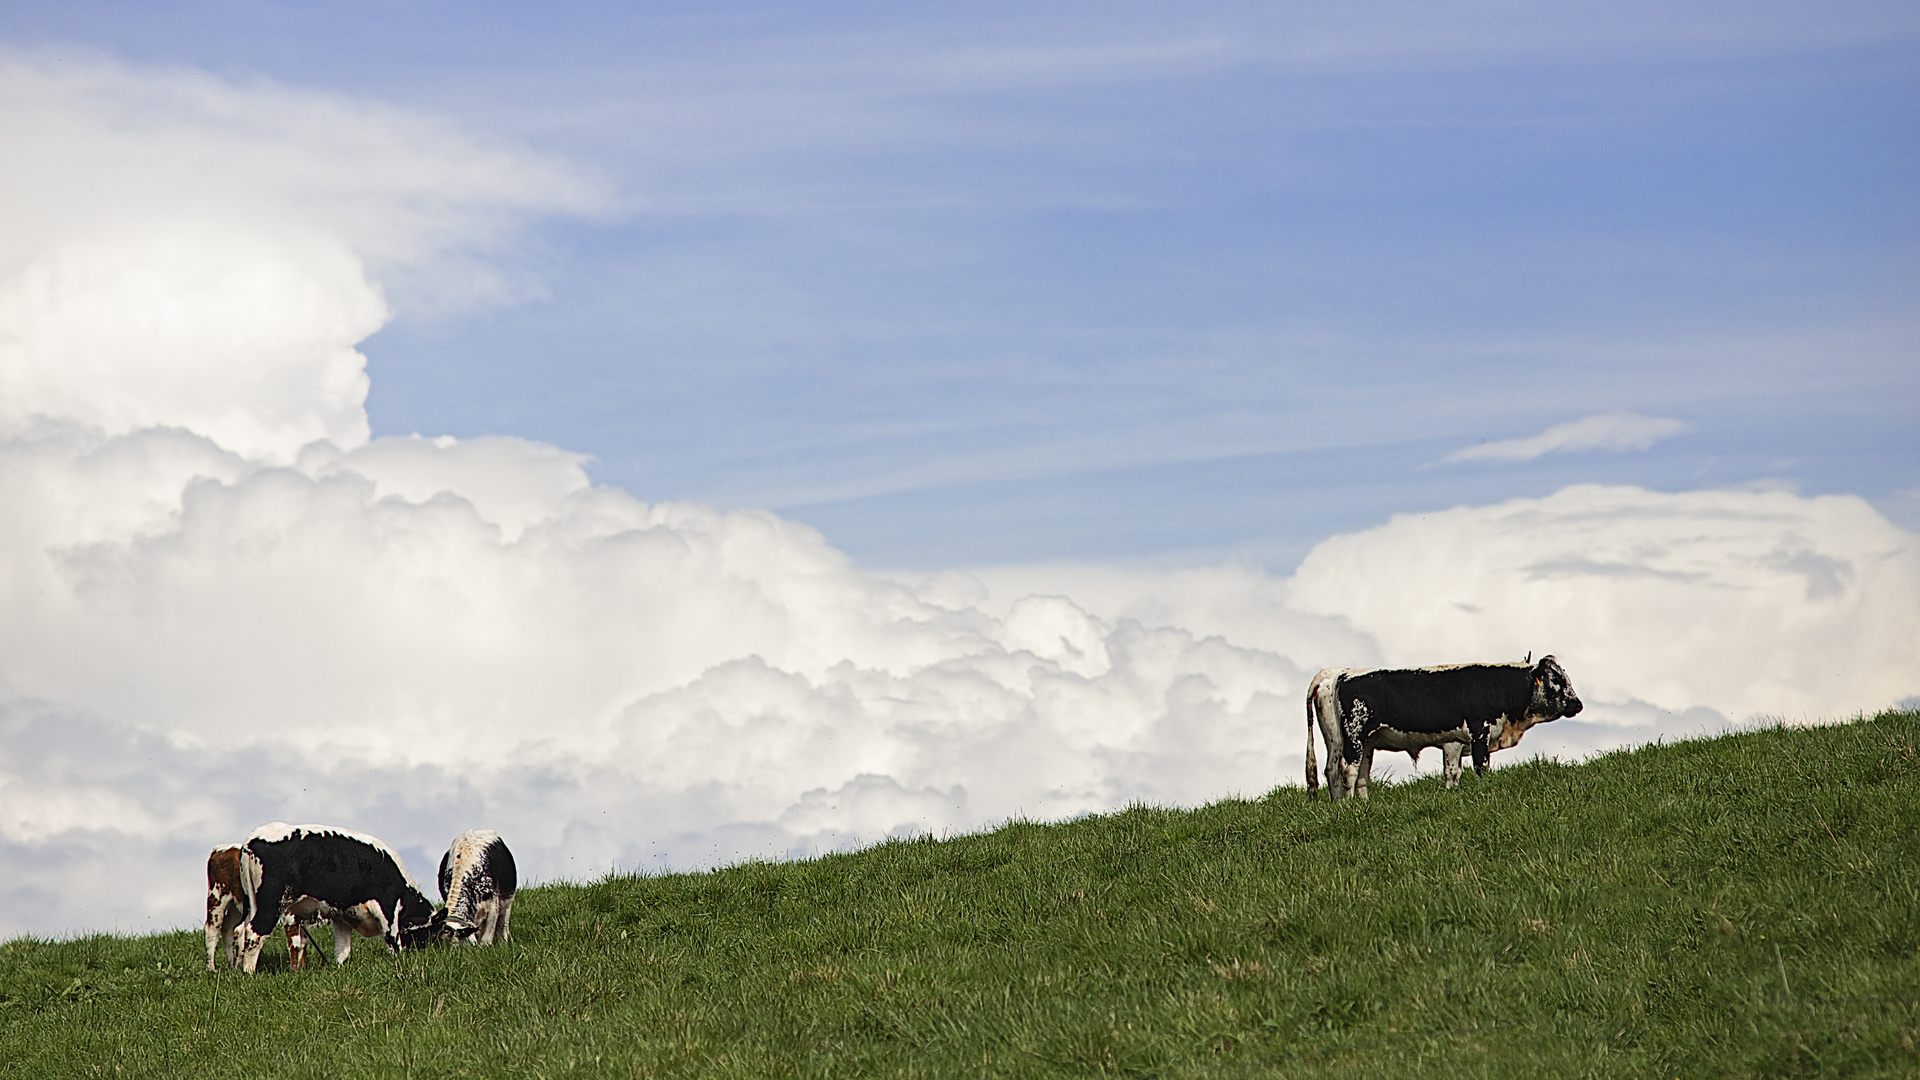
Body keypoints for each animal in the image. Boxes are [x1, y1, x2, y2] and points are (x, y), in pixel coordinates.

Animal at [238, 818, 437, 972]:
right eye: (433, 933)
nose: (432, 953)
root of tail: (254, 837)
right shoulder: (387, 910)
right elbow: (393, 944)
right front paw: (401, 964)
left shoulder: (343, 915)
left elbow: (343, 950)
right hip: (271, 904)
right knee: (255, 934)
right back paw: (249, 973)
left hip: (252, 903)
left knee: (241, 931)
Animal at [1305, 653, 1589, 795]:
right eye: (1556, 679)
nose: (1578, 704)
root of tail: (1341, 673)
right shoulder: (1478, 732)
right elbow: (1479, 768)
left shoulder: (1454, 741)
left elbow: (1452, 772)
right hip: (1353, 736)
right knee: (1347, 772)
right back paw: (1348, 806)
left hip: (1358, 742)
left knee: (1350, 773)